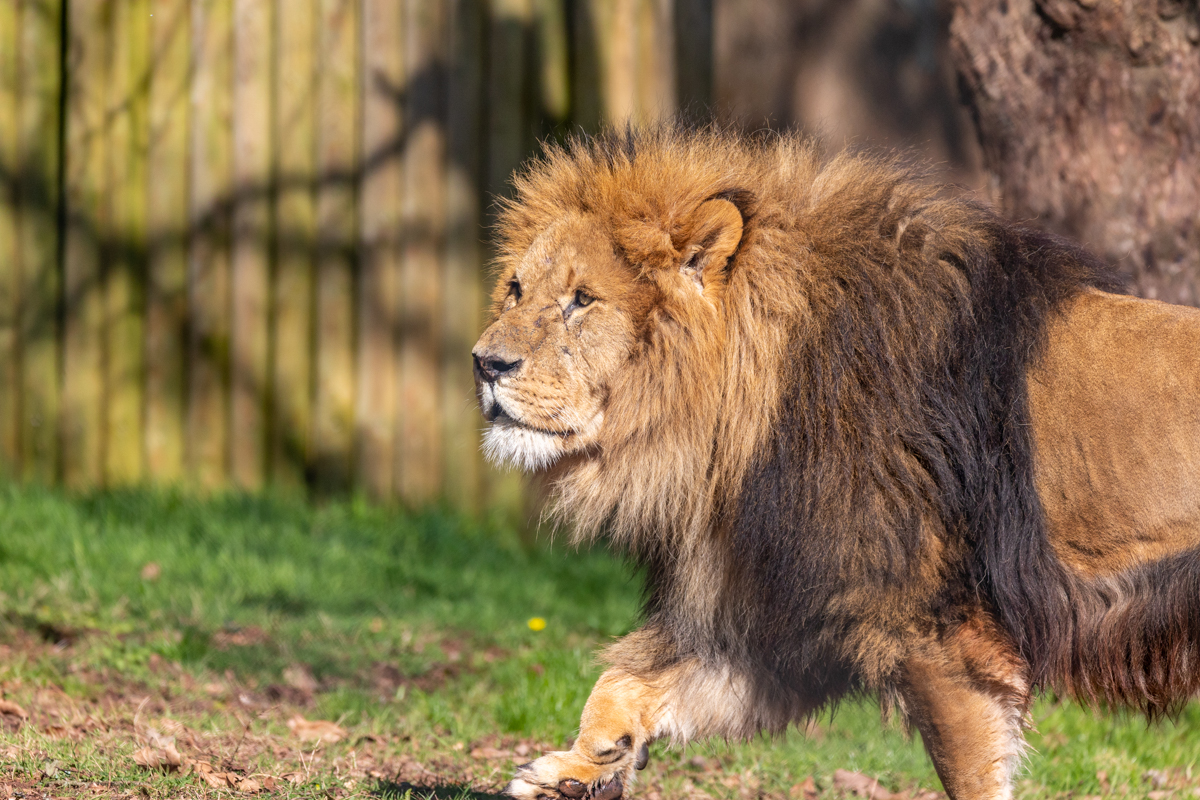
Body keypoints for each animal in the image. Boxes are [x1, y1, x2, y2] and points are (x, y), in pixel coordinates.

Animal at [468, 128, 1200, 800]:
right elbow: (625, 681)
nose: (484, 363)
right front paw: (580, 768)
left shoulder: (938, 633)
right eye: (515, 290)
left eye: (582, 299)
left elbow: (970, 775)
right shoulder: (777, 616)